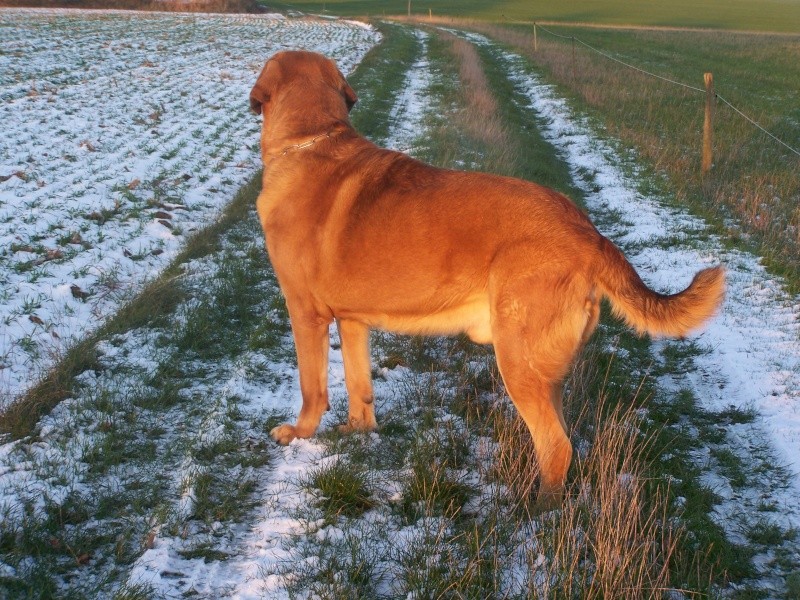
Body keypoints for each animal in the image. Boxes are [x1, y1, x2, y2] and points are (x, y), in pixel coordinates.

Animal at [250, 50, 724, 506]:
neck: (312, 138)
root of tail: (588, 232)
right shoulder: (352, 320)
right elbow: (358, 383)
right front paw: (358, 431)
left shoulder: (305, 313)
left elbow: (312, 387)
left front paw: (298, 434)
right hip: (542, 371)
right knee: (561, 439)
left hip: (515, 358)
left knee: (556, 446)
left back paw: (536, 513)